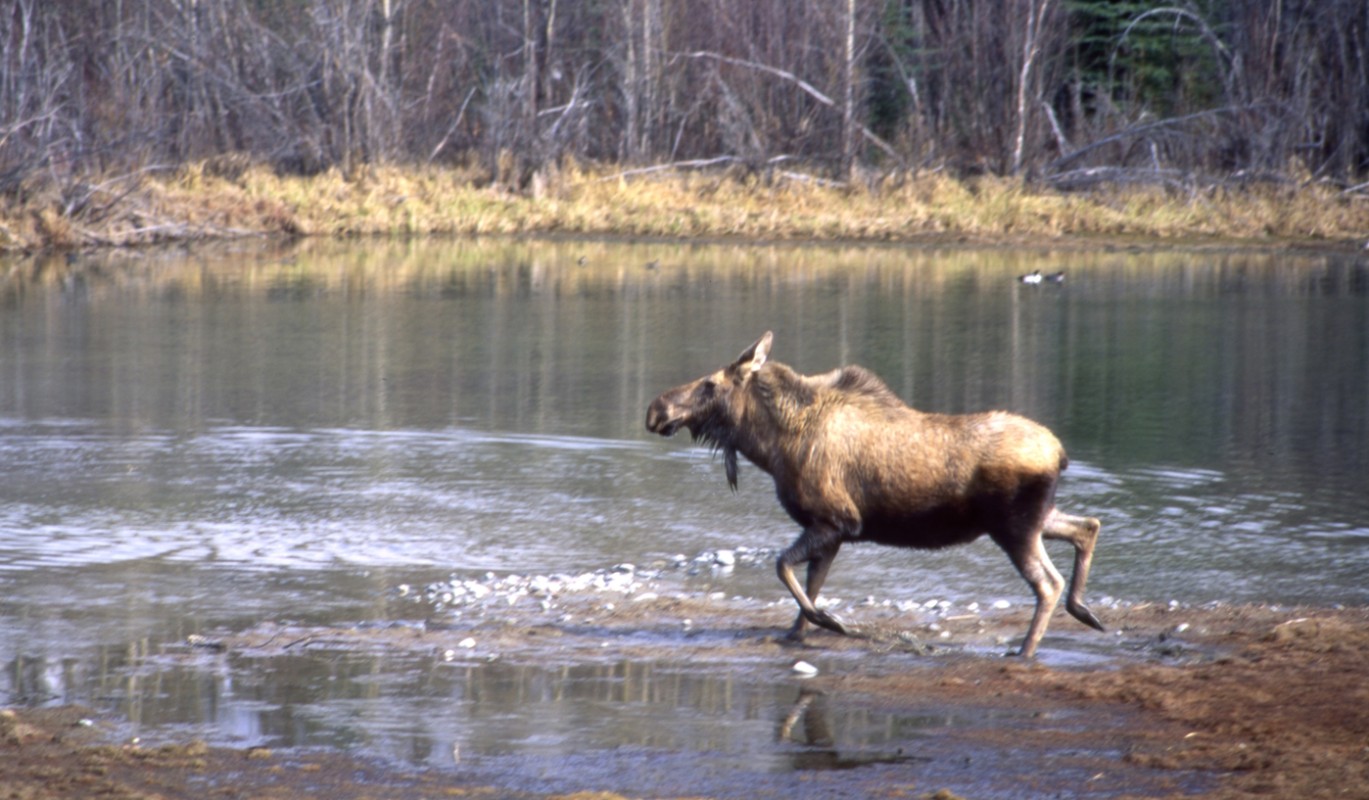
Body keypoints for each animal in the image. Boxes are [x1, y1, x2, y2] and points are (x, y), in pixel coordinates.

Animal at [646, 331, 1106, 657]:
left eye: (709, 384)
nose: (655, 409)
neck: (771, 448)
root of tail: (1060, 454)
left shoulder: (836, 520)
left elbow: (783, 568)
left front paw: (831, 621)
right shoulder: (831, 531)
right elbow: (809, 585)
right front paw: (799, 631)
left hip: (1014, 527)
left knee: (1048, 582)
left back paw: (1026, 649)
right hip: (1034, 518)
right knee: (1087, 525)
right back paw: (1084, 612)